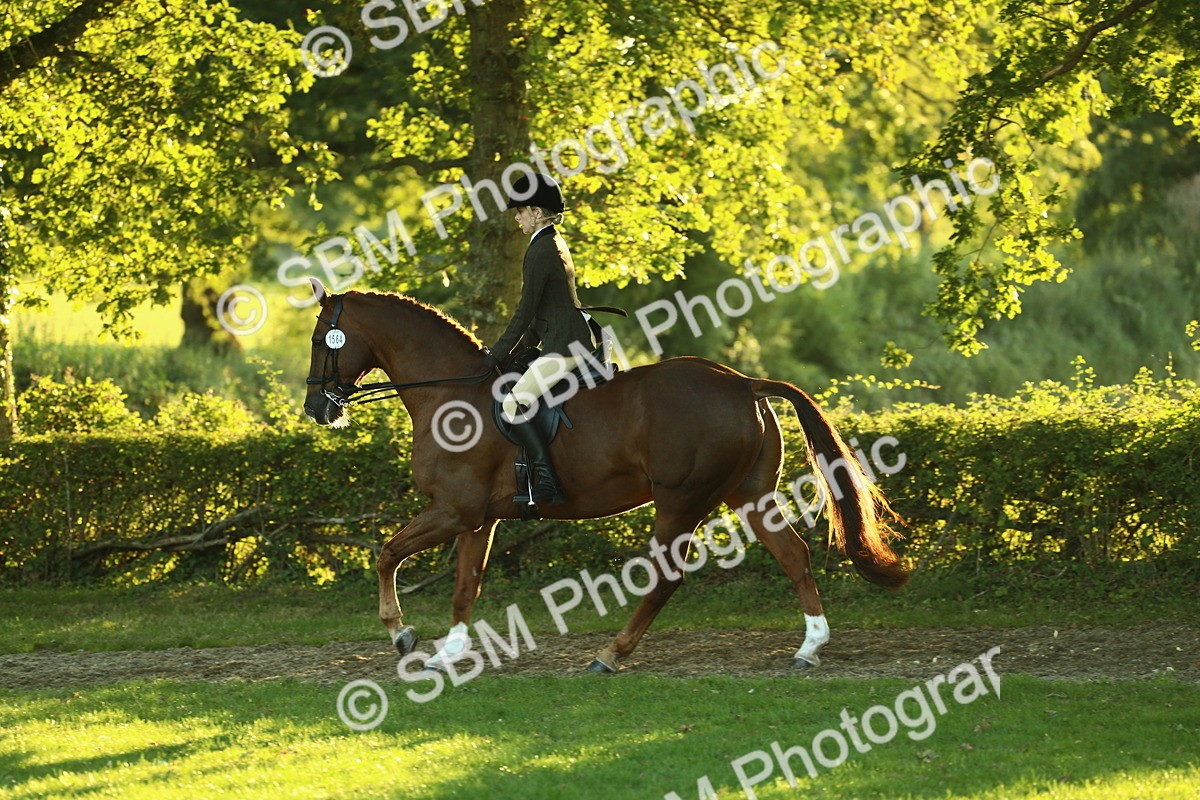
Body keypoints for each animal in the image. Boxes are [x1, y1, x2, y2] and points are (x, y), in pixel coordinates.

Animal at [301, 278, 908, 673]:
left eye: (318, 340)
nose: (317, 409)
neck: (450, 393)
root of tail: (742, 383)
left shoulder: (454, 509)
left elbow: (387, 554)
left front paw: (401, 634)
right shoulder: (478, 518)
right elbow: (464, 586)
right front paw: (448, 652)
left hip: (680, 502)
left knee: (667, 578)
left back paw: (610, 656)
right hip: (748, 494)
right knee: (794, 557)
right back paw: (809, 649)